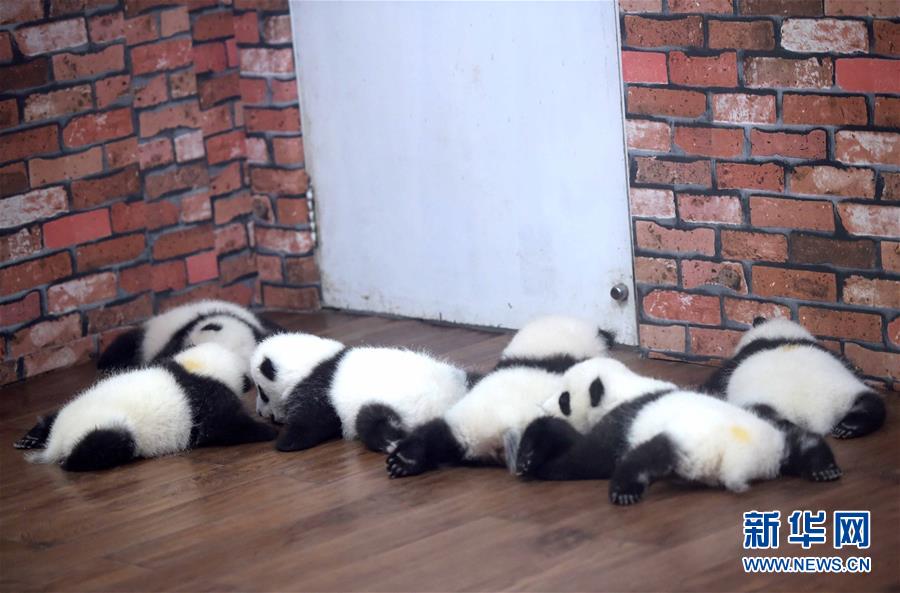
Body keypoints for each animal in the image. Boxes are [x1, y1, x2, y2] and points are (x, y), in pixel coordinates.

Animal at [20, 343, 278, 472]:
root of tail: (56, 442)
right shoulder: (207, 401)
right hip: (106, 427)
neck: (196, 367)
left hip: (76, 403)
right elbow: (226, 426)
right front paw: (268, 431)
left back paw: (30, 438)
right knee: (108, 443)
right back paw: (69, 461)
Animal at [249, 333, 471, 453]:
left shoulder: (320, 388)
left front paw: (285, 442)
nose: (260, 412)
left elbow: (313, 420)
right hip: (462, 379)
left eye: (262, 392)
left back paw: (390, 442)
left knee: (370, 420)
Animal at [385, 315, 614, 478]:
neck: (543, 353)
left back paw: (405, 460)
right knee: (556, 434)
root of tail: (500, 430)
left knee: (435, 433)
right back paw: (530, 455)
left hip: (461, 422)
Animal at [513, 358, 842, 505]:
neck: (624, 388)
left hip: (692, 444)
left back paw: (624, 489)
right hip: (766, 423)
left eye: (564, 398)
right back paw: (823, 467)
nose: (544, 405)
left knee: (649, 455)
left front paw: (534, 460)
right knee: (799, 437)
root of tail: (750, 456)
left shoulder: (621, 423)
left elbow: (582, 459)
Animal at [703, 317, 886, 439]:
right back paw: (850, 426)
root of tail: (814, 415)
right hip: (848, 391)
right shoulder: (837, 356)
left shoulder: (736, 361)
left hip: (758, 406)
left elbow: (716, 383)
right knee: (871, 402)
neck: (781, 335)